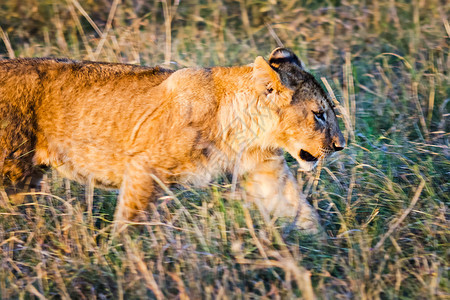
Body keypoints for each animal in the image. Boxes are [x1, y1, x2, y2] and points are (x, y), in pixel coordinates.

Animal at [0, 48, 344, 233]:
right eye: (318, 114)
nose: (341, 145)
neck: (246, 132)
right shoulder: (143, 166)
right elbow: (131, 221)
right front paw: (123, 258)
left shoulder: (265, 170)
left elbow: (299, 210)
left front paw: (323, 254)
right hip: (13, 168)